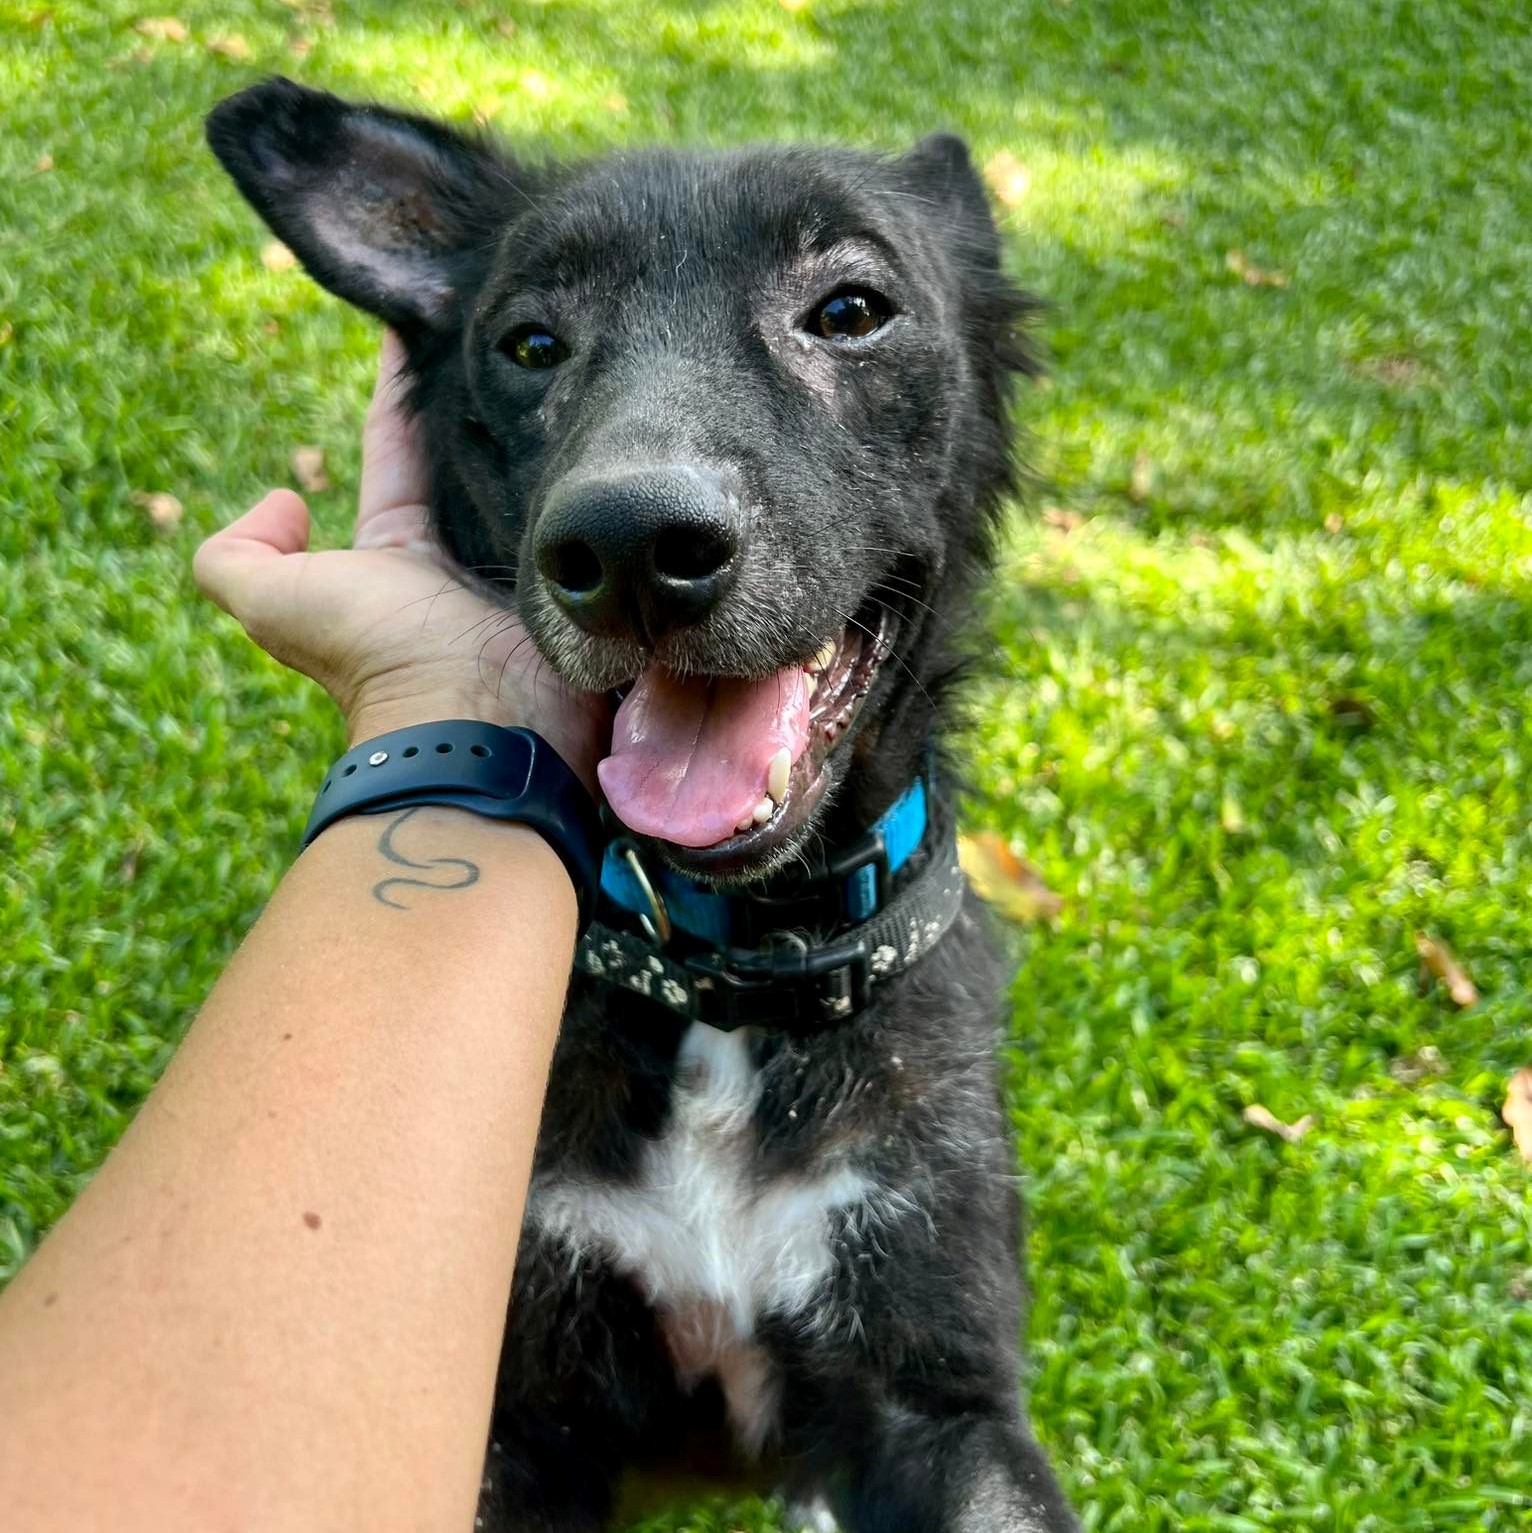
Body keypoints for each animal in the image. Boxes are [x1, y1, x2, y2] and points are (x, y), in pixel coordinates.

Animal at [207, 83, 1079, 1533]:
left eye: (849, 309)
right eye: (530, 341)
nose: (627, 548)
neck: (730, 974)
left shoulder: (938, 1394)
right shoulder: (516, 1411)